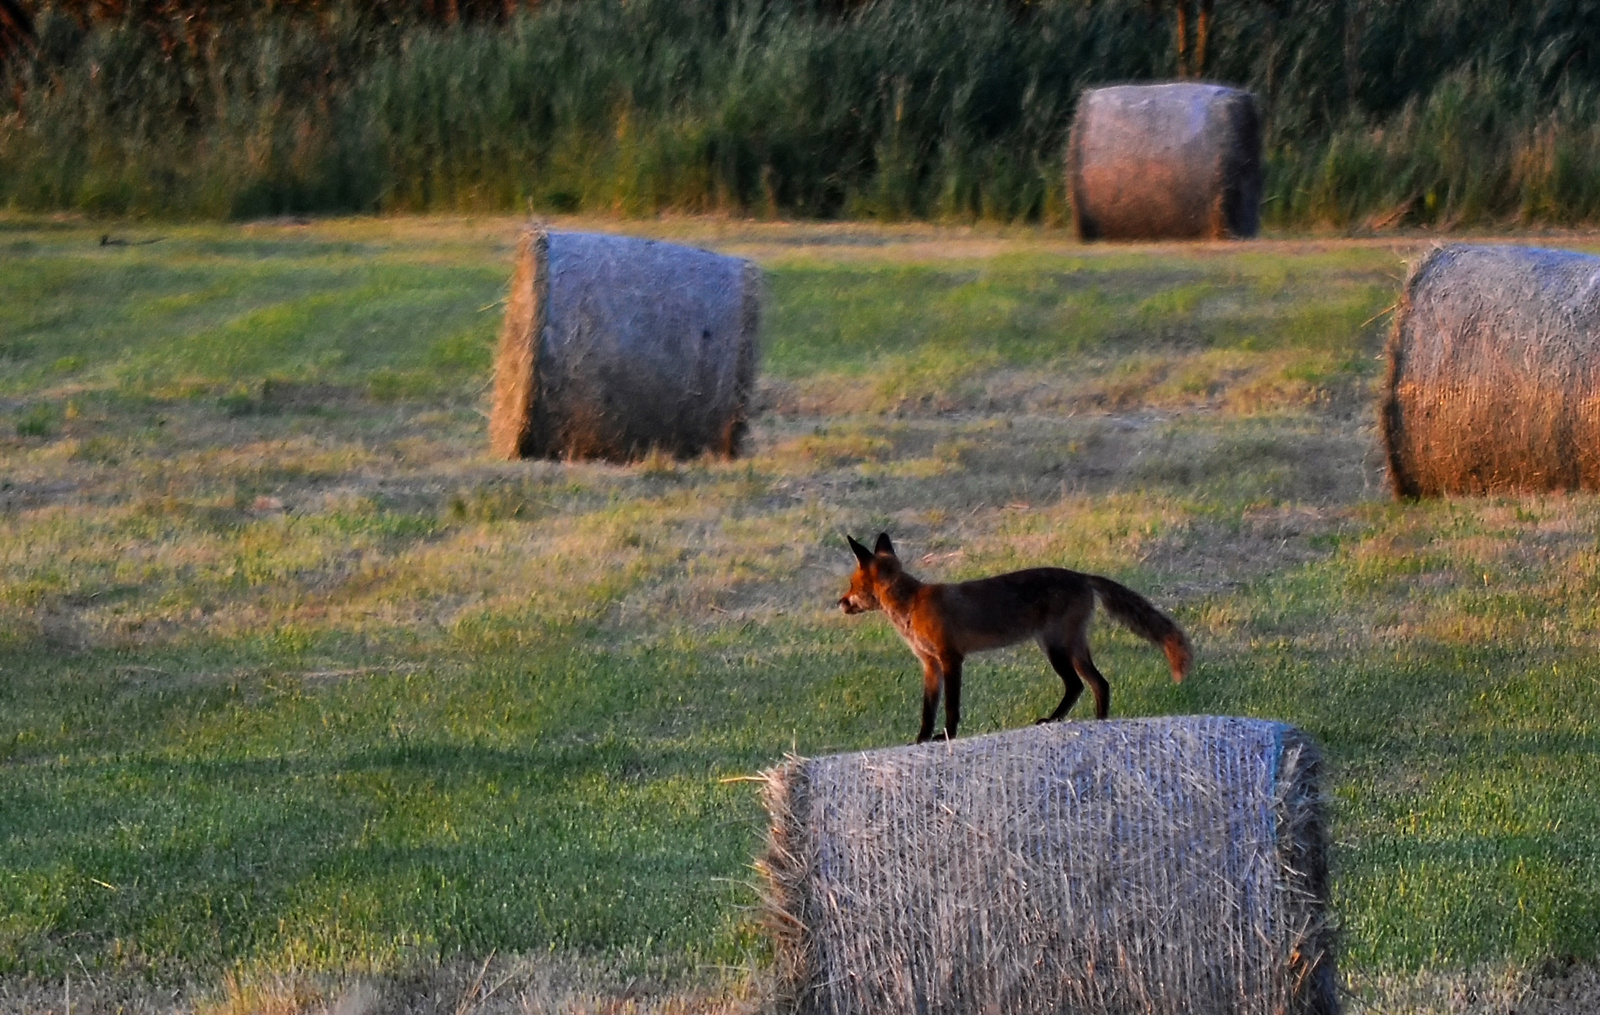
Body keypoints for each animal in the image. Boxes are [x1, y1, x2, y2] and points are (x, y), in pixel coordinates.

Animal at [838, 534, 1190, 739]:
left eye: (853, 585)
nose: (839, 603)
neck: (911, 606)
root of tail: (1081, 576)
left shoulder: (951, 658)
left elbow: (951, 707)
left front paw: (948, 735)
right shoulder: (929, 665)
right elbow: (928, 711)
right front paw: (921, 740)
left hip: (1055, 647)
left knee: (1077, 685)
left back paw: (1054, 719)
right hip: (1073, 647)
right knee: (1100, 684)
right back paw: (1100, 722)